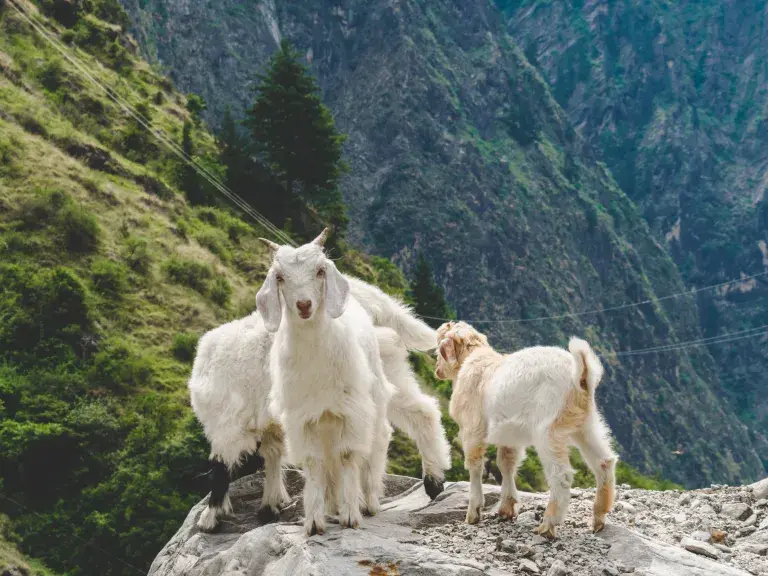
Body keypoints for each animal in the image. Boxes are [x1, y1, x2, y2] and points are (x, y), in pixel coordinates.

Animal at [257, 228, 393, 535]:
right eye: (279, 277)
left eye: (320, 271)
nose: (304, 305)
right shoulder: (302, 418)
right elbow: (313, 462)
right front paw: (314, 521)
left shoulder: (351, 411)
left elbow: (348, 456)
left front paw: (351, 515)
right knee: (329, 461)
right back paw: (332, 505)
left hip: (374, 404)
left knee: (375, 445)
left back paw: (369, 502)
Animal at [435, 321, 616, 537]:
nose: (437, 370)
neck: (474, 360)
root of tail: (579, 374)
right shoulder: (508, 435)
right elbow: (506, 463)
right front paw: (506, 509)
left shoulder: (472, 430)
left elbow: (475, 466)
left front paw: (473, 513)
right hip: (587, 425)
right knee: (604, 462)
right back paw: (599, 519)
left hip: (548, 430)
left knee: (561, 475)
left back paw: (548, 525)